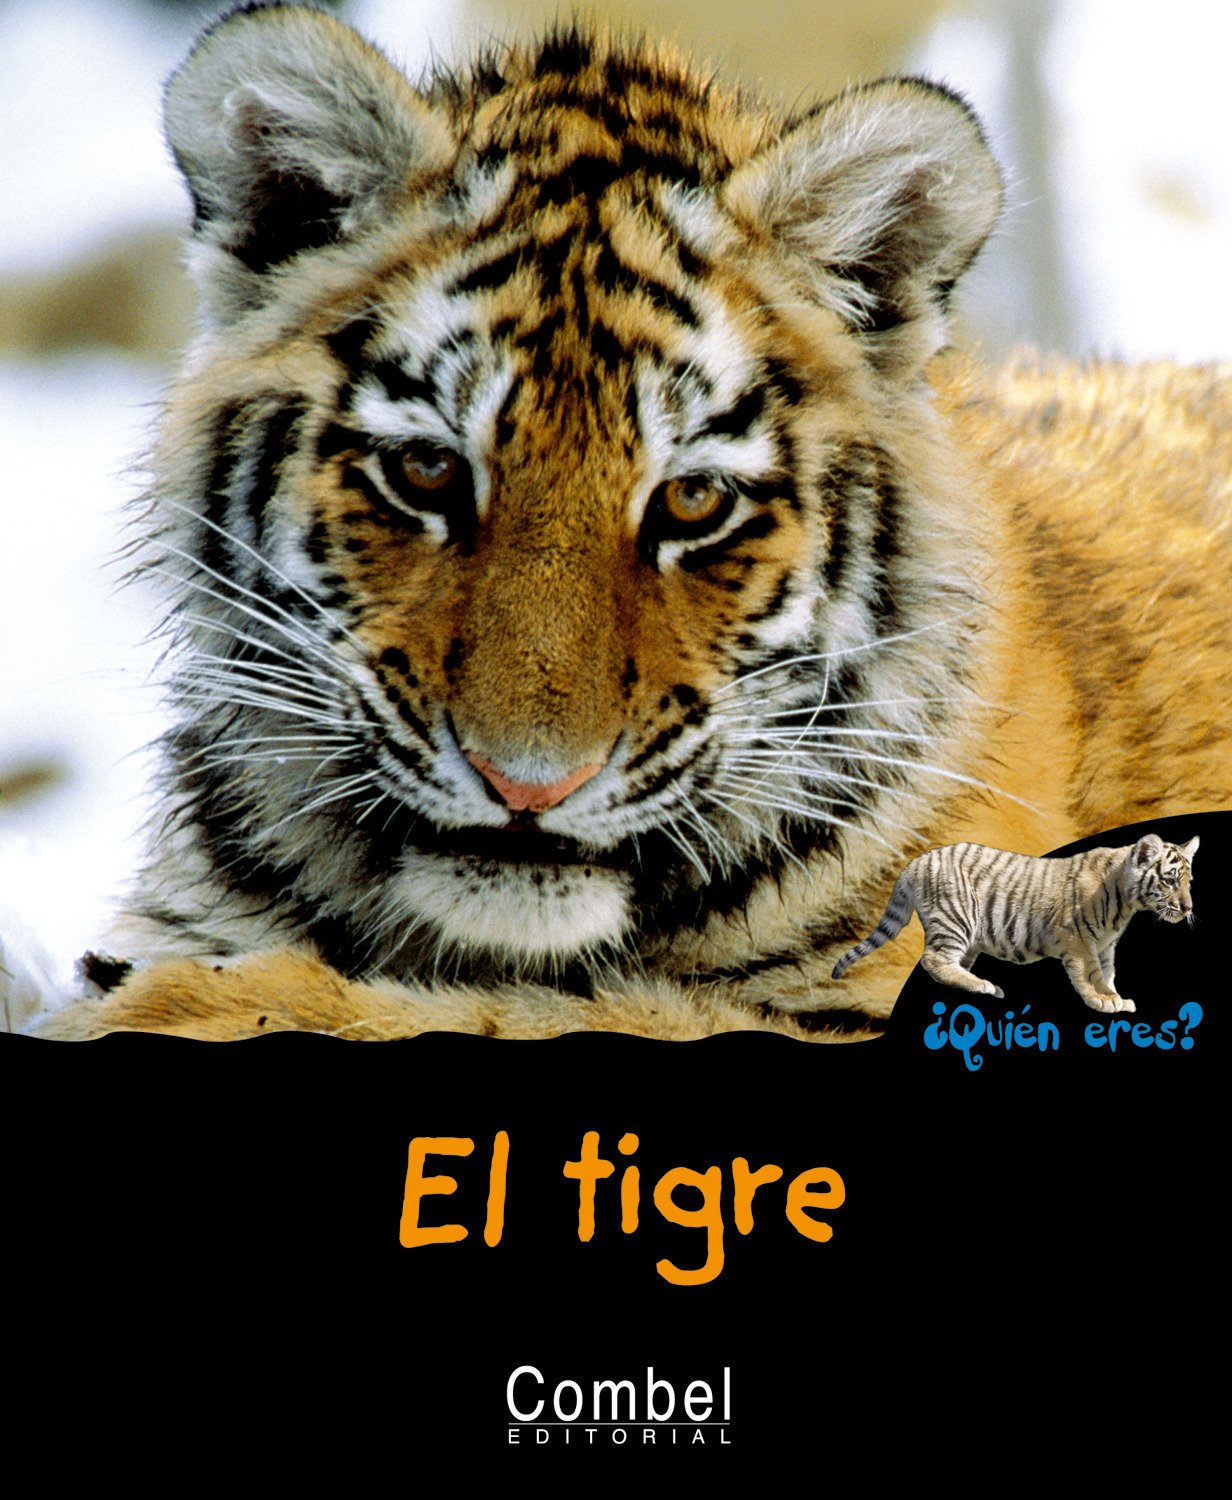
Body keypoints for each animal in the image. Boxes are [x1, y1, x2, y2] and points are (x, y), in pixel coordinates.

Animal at [831, 834, 1199, 1013]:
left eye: (1189, 881)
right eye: (1170, 880)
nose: (1188, 908)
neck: (1125, 903)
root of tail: (915, 861)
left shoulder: (1106, 945)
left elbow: (1107, 974)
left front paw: (1116, 998)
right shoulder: (1079, 940)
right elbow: (1090, 974)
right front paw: (1104, 1001)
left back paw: (977, 984)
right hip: (956, 917)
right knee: (932, 959)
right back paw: (985, 986)